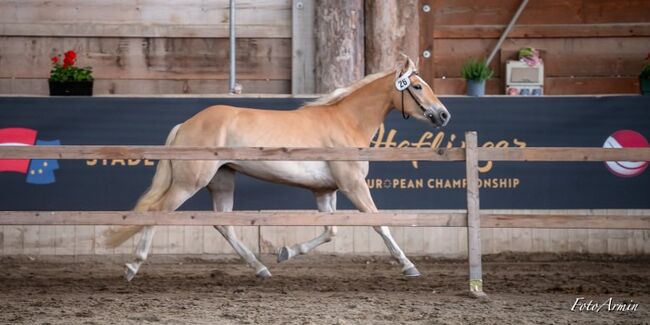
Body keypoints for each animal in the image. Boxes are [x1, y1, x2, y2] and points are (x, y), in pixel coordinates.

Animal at [107, 53, 450, 280]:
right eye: (417, 87)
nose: (443, 115)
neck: (346, 121)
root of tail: (186, 124)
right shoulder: (353, 185)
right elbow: (380, 223)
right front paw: (409, 266)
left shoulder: (325, 191)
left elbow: (330, 231)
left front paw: (285, 252)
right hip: (189, 183)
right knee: (157, 212)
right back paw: (132, 266)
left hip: (222, 181)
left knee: (224, 224)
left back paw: (261, 268)